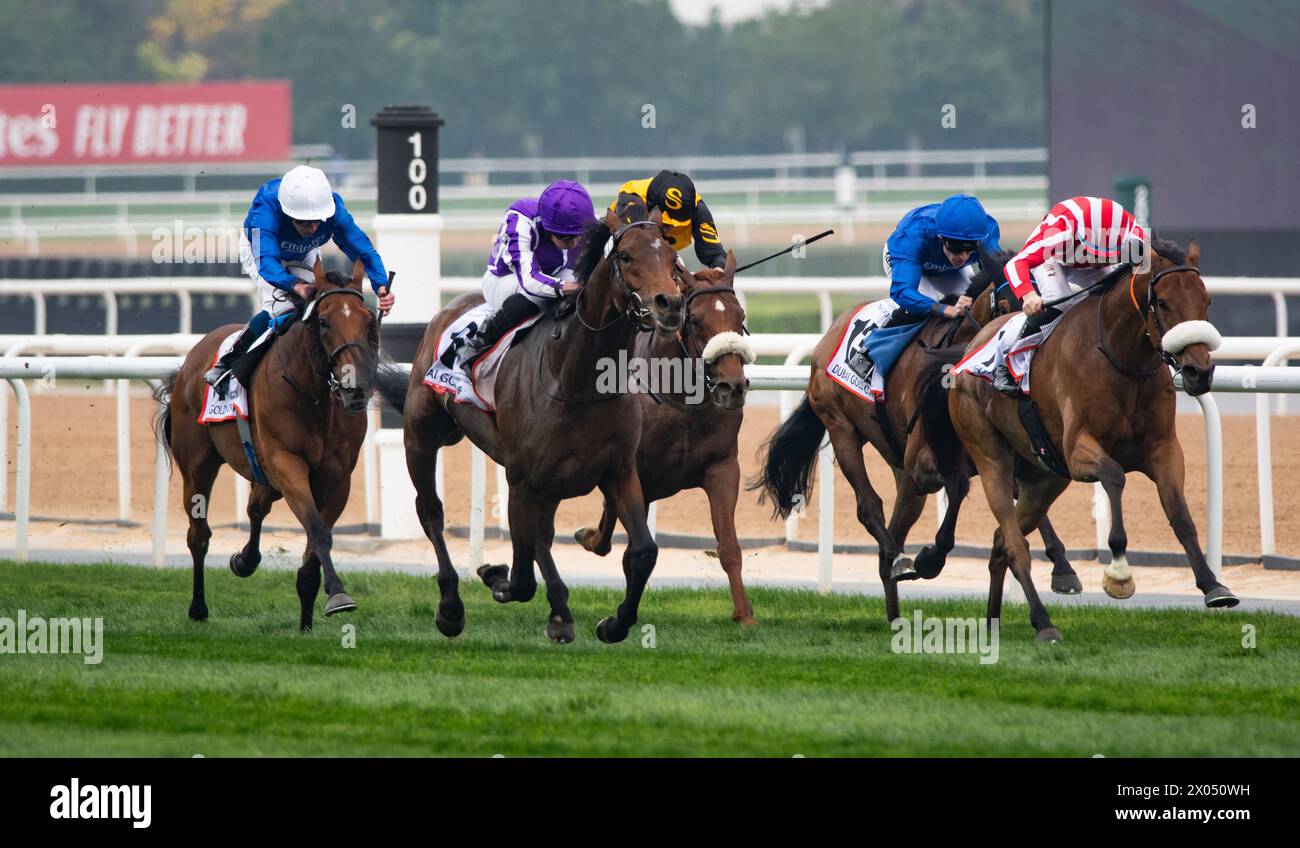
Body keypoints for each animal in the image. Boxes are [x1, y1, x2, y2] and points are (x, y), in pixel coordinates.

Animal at [156, 261, 379, 632]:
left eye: (368, 319)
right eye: (323, 321)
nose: (357, 387)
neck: (315, 396)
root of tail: (190, 360)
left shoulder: (338, 478)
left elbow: (315, 541)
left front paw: (306, 622)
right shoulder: (288, 464)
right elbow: (318, 531)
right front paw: (338, 596)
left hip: (263, 473)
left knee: (255, 507)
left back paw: (245, 560)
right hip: (199, 466)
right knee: (198, 535)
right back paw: (198, 608)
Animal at [374, 205, 686, 642]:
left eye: (673, 259)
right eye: (625, 257)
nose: (670, 304)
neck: (574, 379)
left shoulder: (618, 471)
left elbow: (643, 552)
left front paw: (613, 624)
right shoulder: (522, 480)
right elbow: (521, 580)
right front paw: (495, 577)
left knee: (541, 533)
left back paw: (559, 612)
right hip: (422, 436)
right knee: (431, 511)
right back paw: (451, 606)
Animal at [572, 254, 759, 626]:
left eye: (740, 317)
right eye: (696, 320)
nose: (732, 387)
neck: (680, 399)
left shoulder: (722, 467)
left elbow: (729, 546)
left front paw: (744, 615)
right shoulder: (635, 472)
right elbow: (630, 548)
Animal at [748, 252, 1081, 621]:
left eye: (1048, 304)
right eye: (1006, 303)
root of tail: (830, 334)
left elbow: (1024, 500)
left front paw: (1063, 567)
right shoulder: (926, 464)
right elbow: (958, 488)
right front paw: (931, 557)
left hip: (897, 460)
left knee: (896, 524)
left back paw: (895, 610)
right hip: (841, 427)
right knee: (870, 507)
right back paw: (900, 559)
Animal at [946, 235, 1237, 639]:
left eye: (1206, 300)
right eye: (1163, 302)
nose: (1199, 372)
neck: (1120, 359)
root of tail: (972, 347)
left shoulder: (1164, 448)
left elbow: (1180, 514)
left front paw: (1213, 586)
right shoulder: (1078, 451)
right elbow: (1114, 476)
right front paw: (1118, 573)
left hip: (1045, 478)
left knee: (1002, 541)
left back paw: (994, 620)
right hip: (991, 458)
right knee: (1015, 543)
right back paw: (1044, 623)